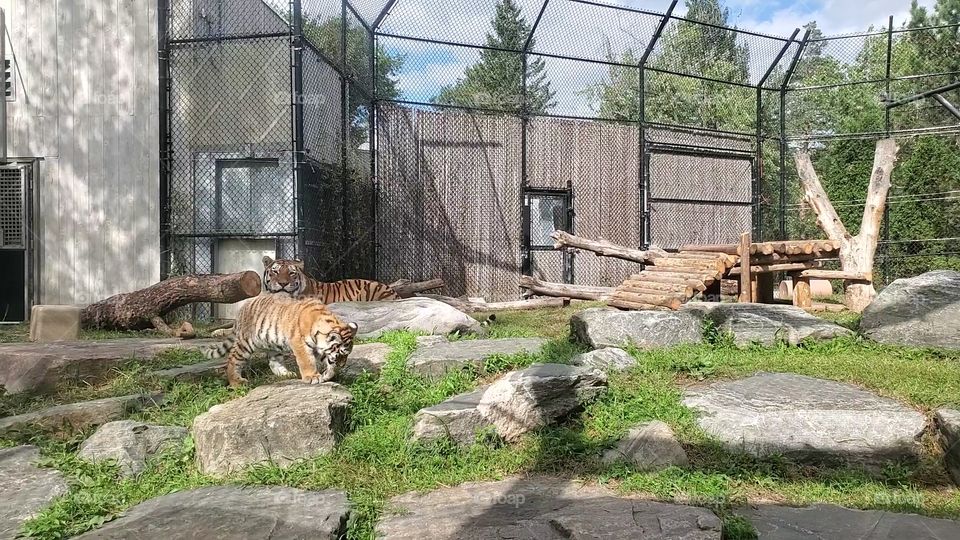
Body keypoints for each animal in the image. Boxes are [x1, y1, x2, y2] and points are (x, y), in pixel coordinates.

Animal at [204, 293, 358, 388]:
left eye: (347, 354)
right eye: (342, 354)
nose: (342, 365)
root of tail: (243, 307)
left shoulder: (320, 349)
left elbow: (328, 364)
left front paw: (327, 375)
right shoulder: (300, 344)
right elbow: (307, 361)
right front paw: (312, 377)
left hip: (273, 345)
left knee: (274, 362)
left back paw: (287, 374)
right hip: (245, 343)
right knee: (233, 359)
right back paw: (237, 382)